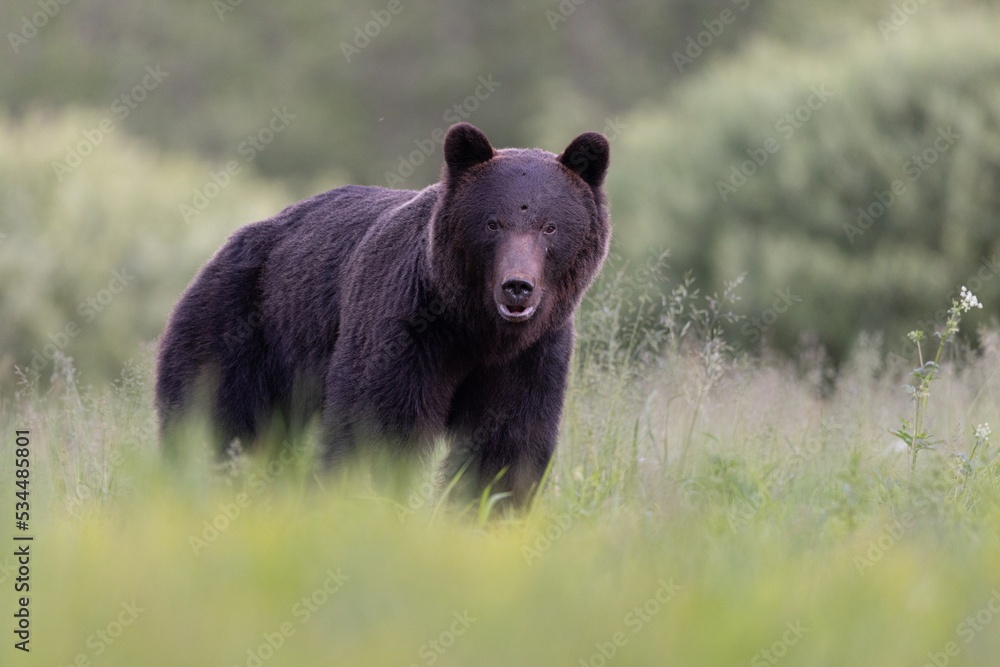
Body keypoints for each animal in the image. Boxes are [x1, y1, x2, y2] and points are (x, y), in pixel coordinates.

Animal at [156, 121, 608, 506]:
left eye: (550, 227)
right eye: (493, 223)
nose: (517, 285)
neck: (475, 328)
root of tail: (226, 247)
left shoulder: (531, 355)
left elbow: (509, 444)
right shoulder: (407, 326)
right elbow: (375, 424)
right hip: (236, 329)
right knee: (213, 423)